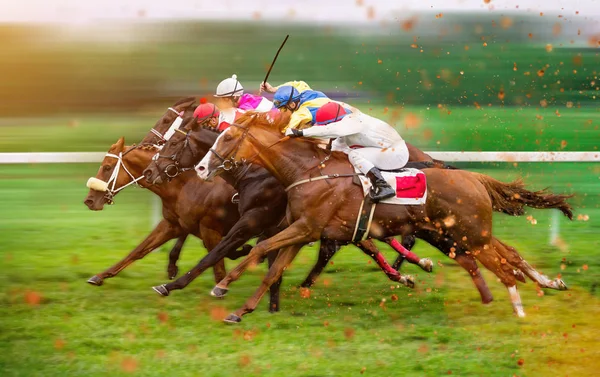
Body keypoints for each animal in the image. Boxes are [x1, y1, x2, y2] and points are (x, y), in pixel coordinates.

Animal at [196, 110, 572, 322]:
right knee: (510, 255)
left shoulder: (305, 227)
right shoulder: (303, 231)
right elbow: (273, 269)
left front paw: (222, 286)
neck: (309, 171)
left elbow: (261, 250)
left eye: (228, 136)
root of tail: (474, 177)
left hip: (470, 235)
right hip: (471, 233)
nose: (200, 168)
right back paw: (547, 283)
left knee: (504, 266)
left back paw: (519, 306)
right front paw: (241, 311)